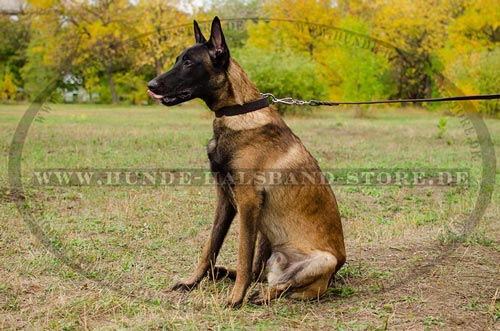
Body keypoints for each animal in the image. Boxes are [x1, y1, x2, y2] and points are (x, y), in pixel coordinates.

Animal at [146, 17, 346, 308]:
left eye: (188, 63)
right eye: (177, 60)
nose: (151, 85)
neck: (236, 112)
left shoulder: (247, 202)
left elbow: (242, 254)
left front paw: (234, 298)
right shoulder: (225, 199)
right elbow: (210, 246)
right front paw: (192, 282)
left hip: (323, 259)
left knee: (281, 285)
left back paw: (259, 294)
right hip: (266, 238)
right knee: (259, 272)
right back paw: (223, 274)